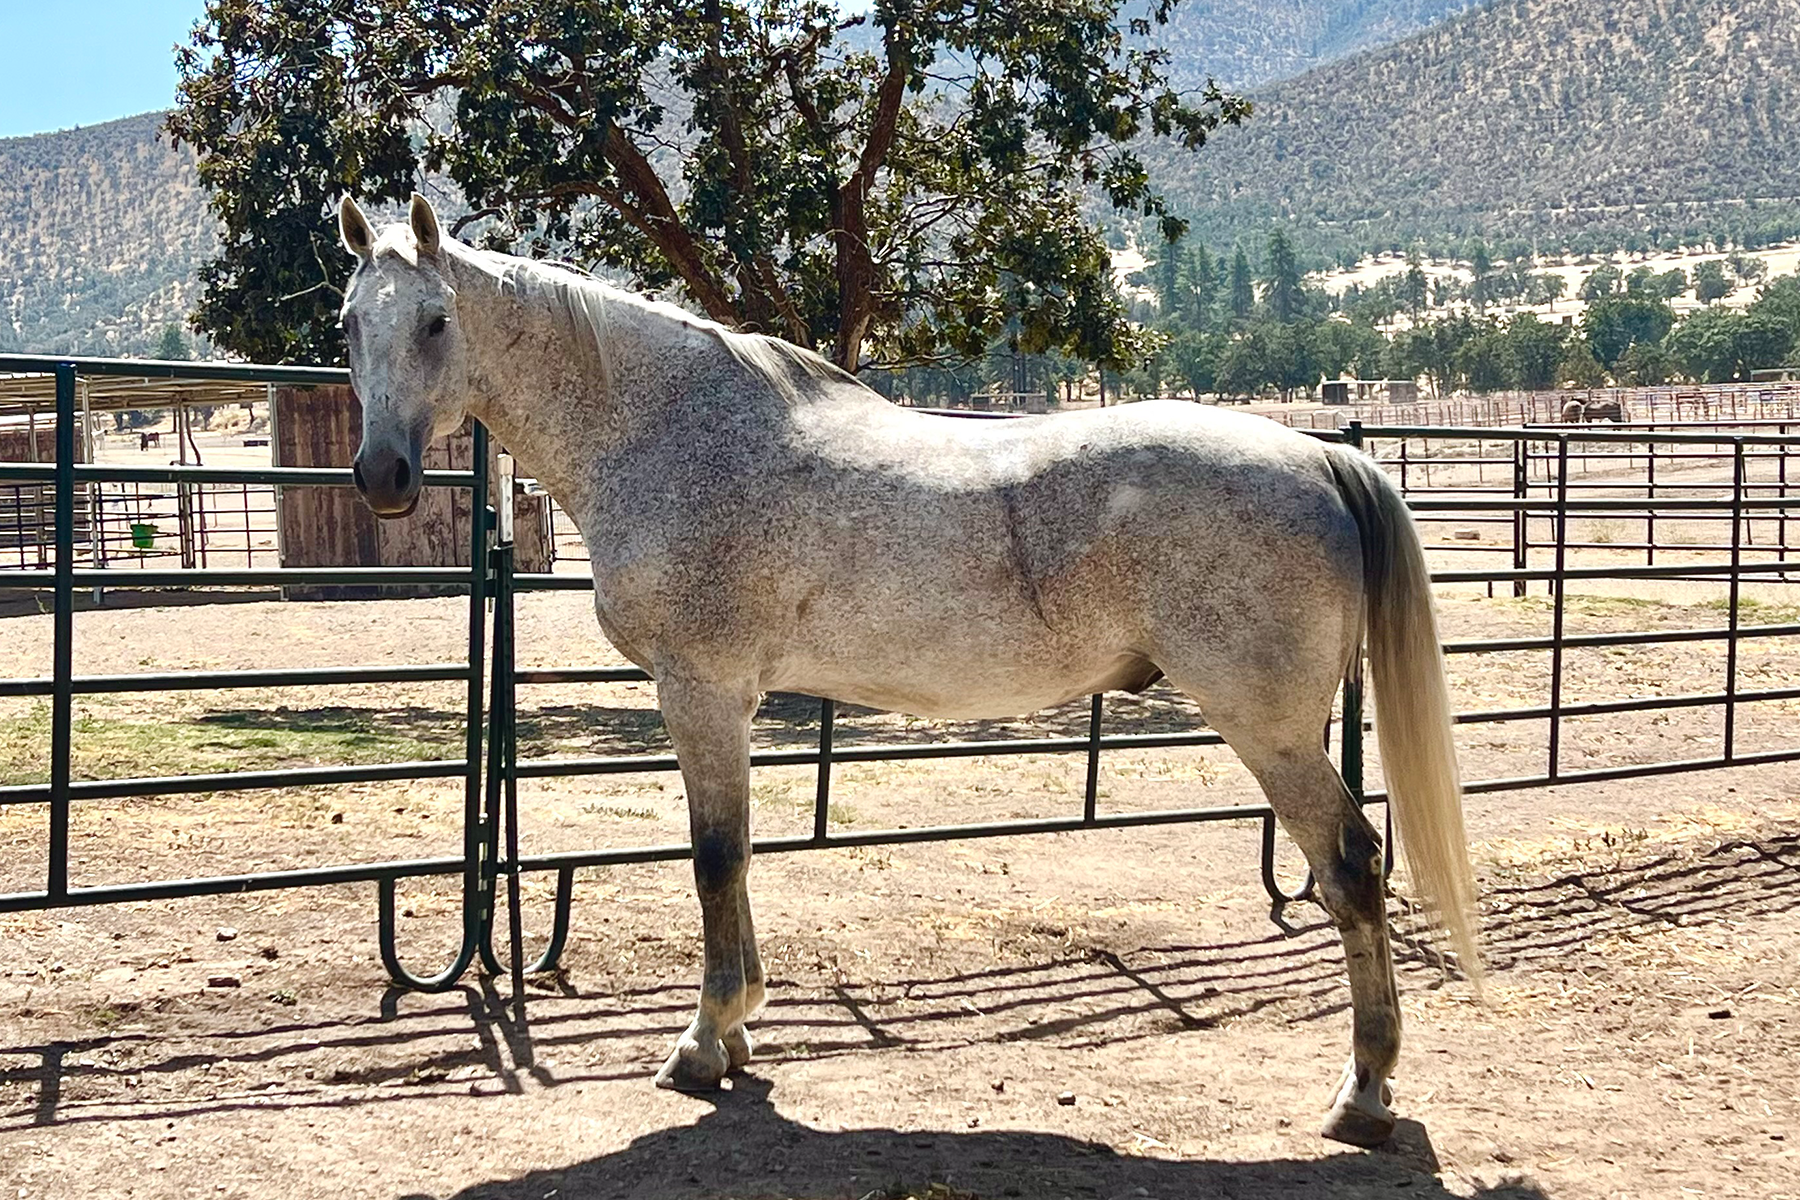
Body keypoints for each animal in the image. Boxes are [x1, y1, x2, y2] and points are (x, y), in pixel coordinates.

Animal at [335, 194, 1480, 1148]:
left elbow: (713, 859)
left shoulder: (698, 689)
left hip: (1269, 729)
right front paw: (741, 1028)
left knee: (1353, 867)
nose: (382, 477)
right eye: (351, 322)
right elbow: (737, 858)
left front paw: (704, 1044)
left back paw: (1364, 1094)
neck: (671, 431)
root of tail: (1323, 456)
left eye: (435, 321)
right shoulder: (727, 701)